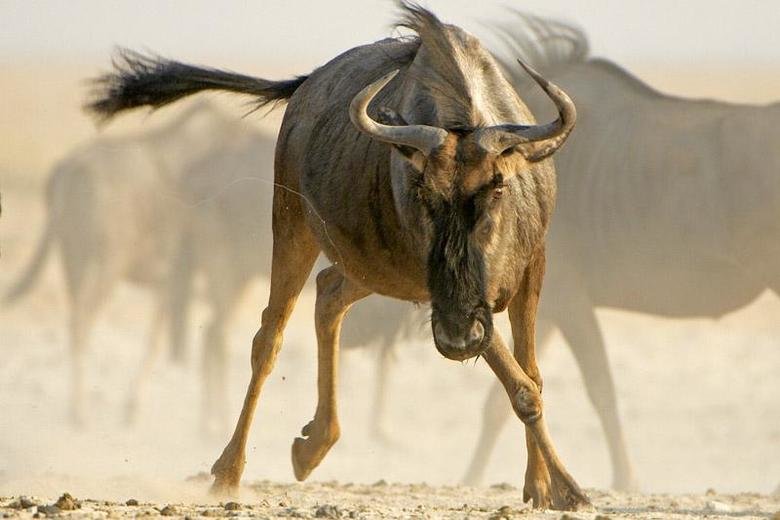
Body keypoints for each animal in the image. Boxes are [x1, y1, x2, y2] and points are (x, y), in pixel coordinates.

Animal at [86, 3, 588, 510]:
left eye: (497, 188)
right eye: (422, 192)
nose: (458, 339)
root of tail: (306, 88)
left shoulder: (527, 273)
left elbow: (531, 377)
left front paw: (542, 485)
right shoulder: (447, 295)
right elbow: (520, 385)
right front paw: (570, 487)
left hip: (372, 267)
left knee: (328, 293)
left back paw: (312, 445)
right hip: (296, 228)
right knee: (268, 338)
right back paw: (229, 470)